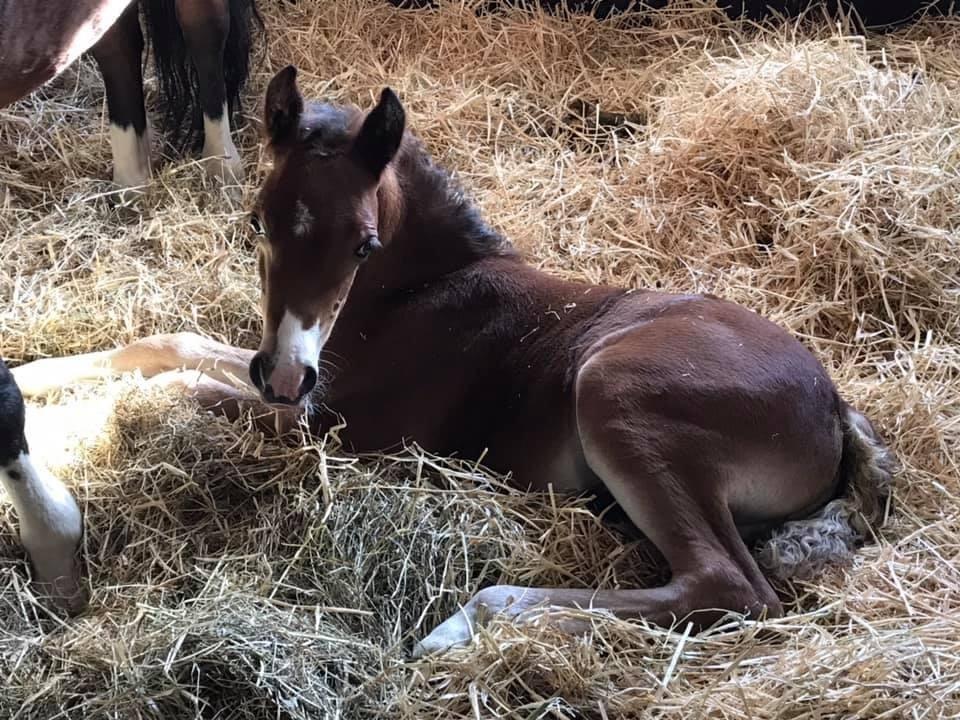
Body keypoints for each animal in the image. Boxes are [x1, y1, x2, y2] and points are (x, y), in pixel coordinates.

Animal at [11, 69, 896, 660]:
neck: (421, 292)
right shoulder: (298, 376)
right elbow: (169, 347)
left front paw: (60, 446)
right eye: (257, 221)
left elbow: (172, 387)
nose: (287, 376)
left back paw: (463, 623)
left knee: (727, 585)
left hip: (616, 390)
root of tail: (835, 407)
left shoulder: (339, 430)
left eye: (363, 244)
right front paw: (32, 377)